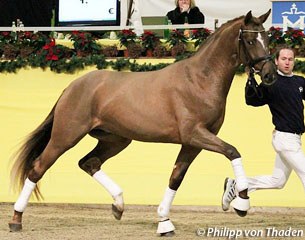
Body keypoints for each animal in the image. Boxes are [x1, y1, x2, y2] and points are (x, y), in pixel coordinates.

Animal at [8, 9, 276, 236]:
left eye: (266, 38)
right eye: (251, 41)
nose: (270, 75)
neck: (199, 80)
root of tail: (72, 86)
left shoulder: (193, 142)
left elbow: (176, 177)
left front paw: (164, 222)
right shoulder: (195, 134)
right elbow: (232, 151)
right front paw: (241, 202)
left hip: (115, 140)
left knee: (89, 162)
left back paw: (118, 205)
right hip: (66, 136)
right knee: (38, 168)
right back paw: (16, 220)